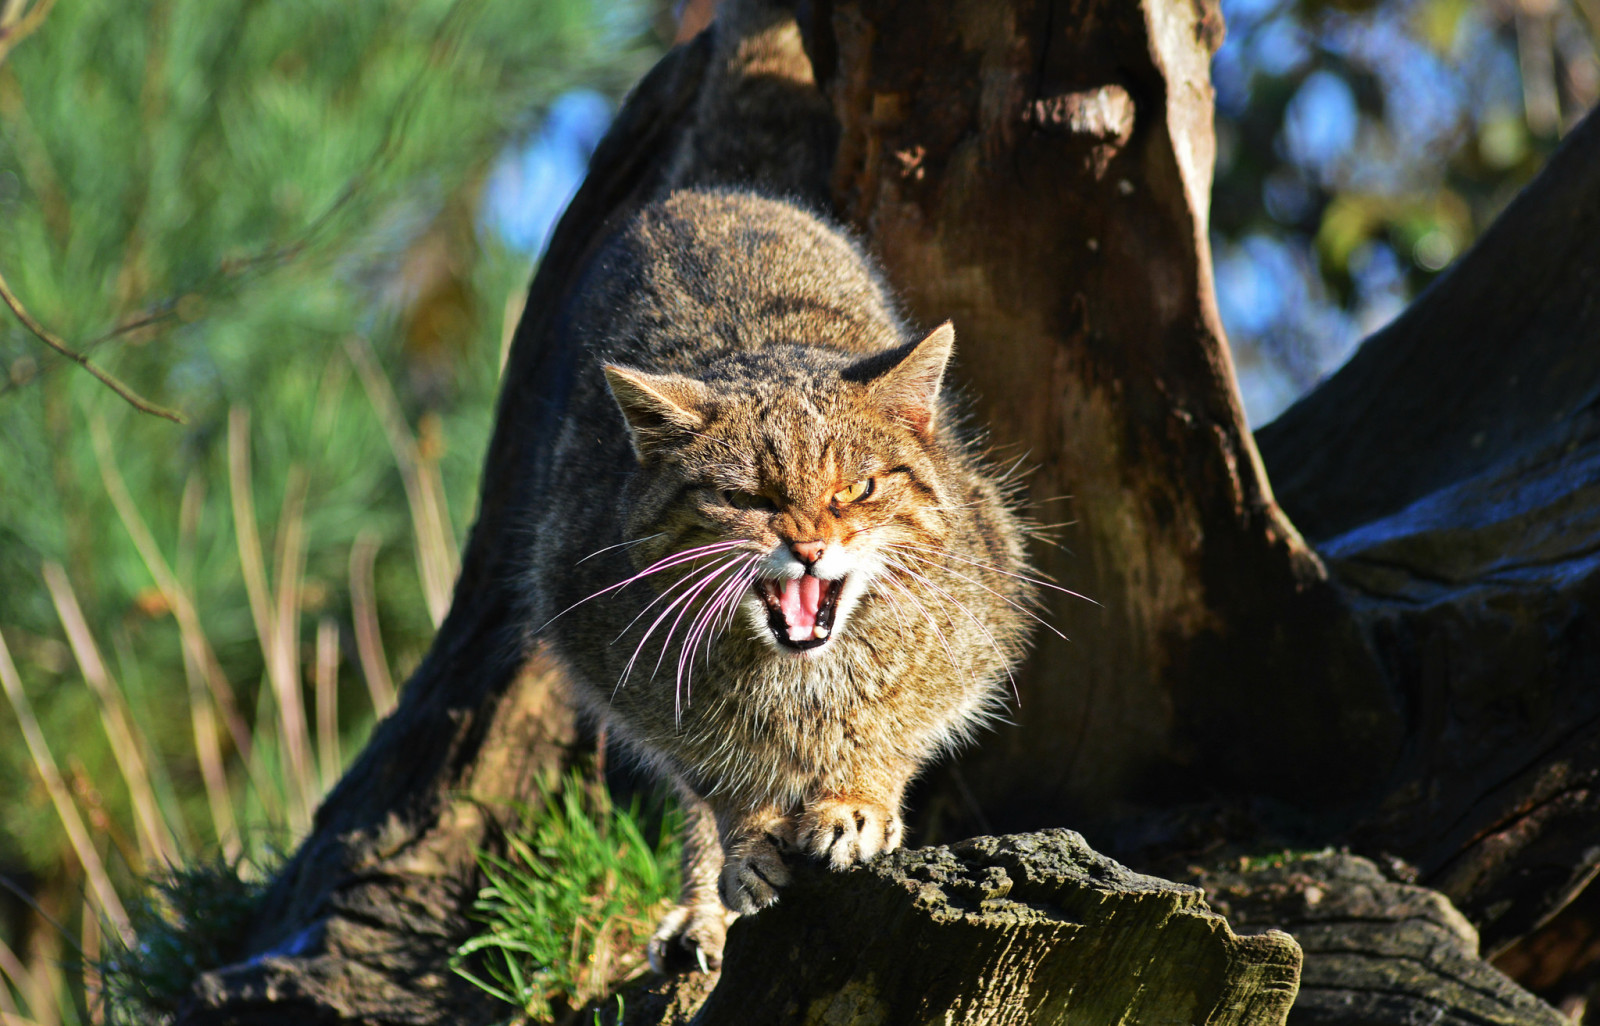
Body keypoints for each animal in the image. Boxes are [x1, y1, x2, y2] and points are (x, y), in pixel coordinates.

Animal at [528, 0, 1036, 973]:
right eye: (748, 499)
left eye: (857, 489)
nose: (808, 544)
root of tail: (718, 191)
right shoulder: (614, 660)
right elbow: (710, 773)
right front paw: (750, 838)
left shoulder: (978, 625)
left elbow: (898, 721)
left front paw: (858, 800)